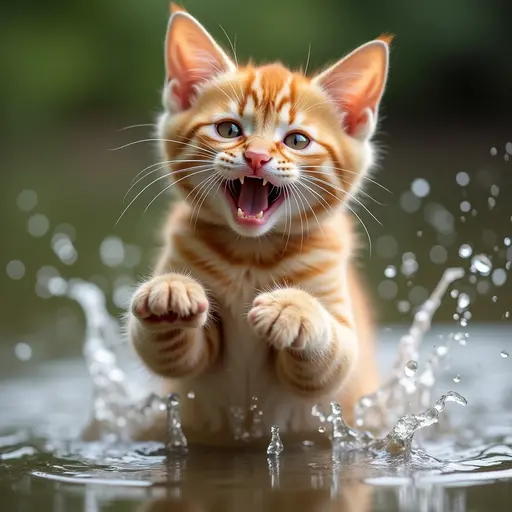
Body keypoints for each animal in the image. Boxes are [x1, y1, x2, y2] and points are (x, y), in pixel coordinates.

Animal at [127, 3, 388, 444]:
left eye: (297, 140)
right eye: (229, 129)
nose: (257, 157)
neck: (250, 254)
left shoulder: (339, 342)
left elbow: (330, 360)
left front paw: (294, 309)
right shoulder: (187, 357)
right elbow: (169, 355)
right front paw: (171, 290)